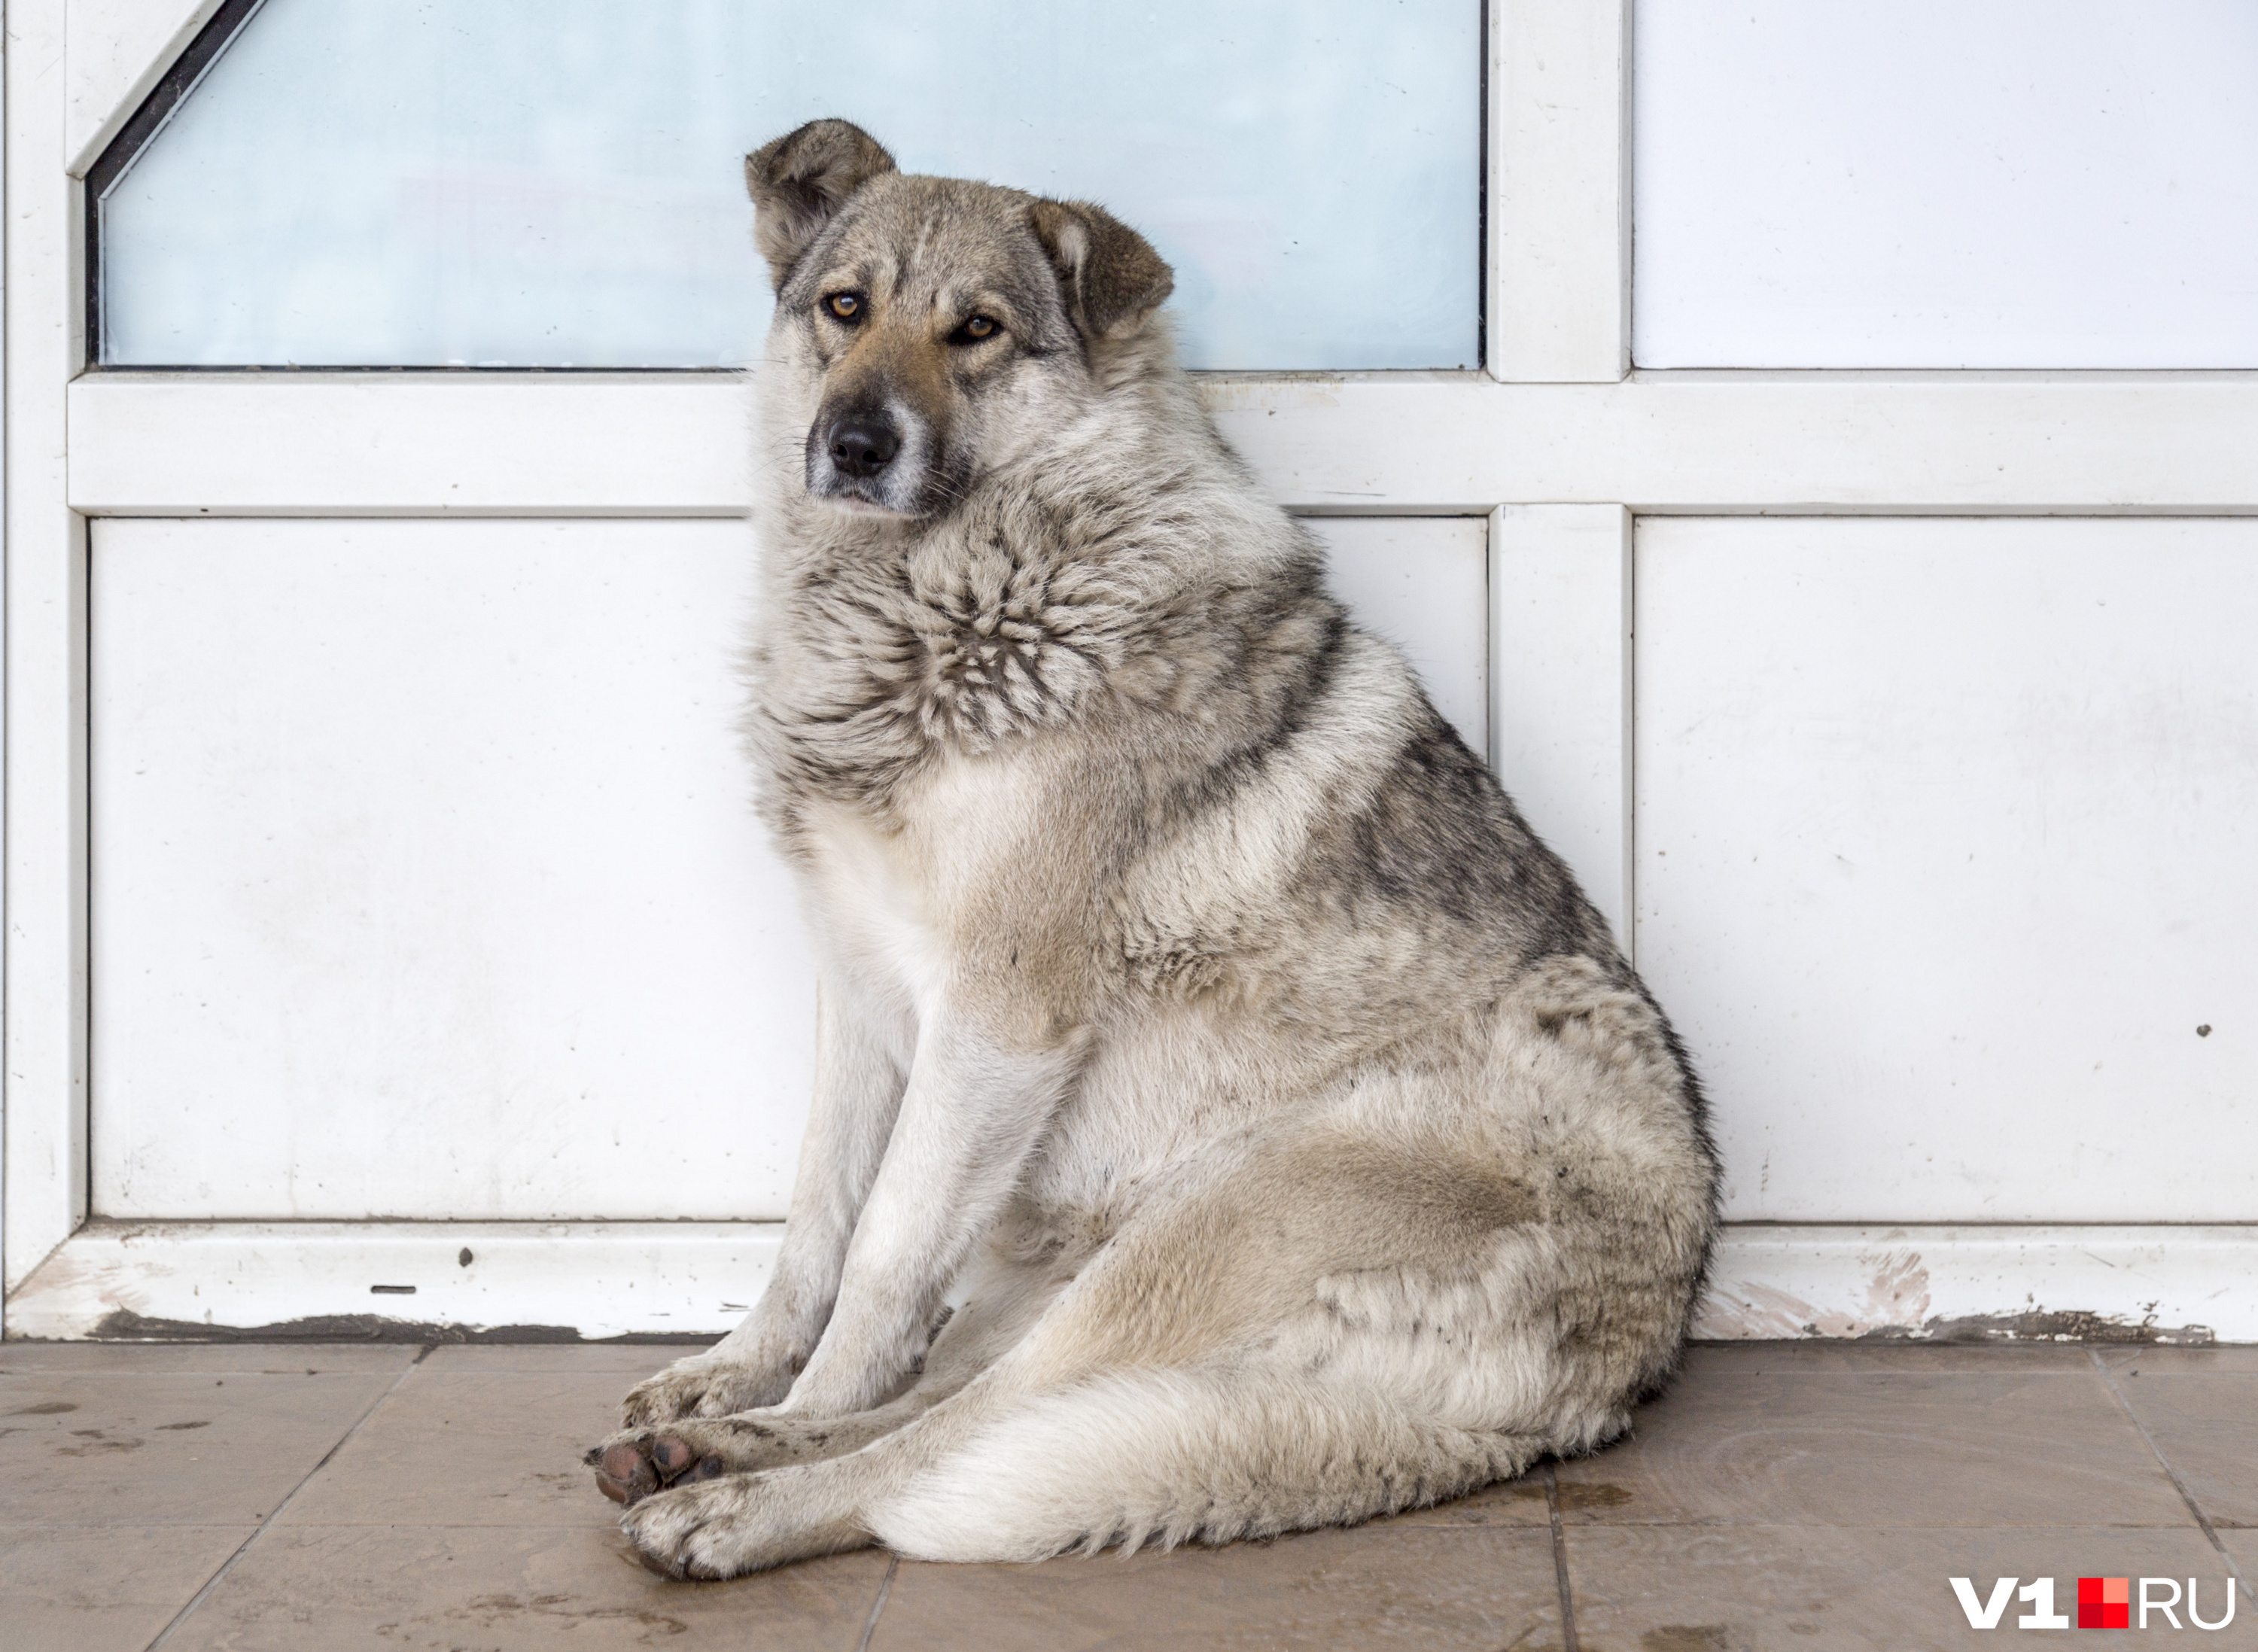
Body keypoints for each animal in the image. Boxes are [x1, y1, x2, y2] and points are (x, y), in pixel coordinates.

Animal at [592, 122, 1716, 1580]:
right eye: (844, 307)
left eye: (978, 330)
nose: (852, 441)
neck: (955, 598)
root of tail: (1601, 1388)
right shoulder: (863, 997)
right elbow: (815, 1224)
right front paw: (737, 1370)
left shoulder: (997, 1014)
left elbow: (883, 1255)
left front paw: (784, 1408)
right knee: (960, 1397)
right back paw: (709, 1440)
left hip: (1205, 1224)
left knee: (949, 1442)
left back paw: (735, 1499)